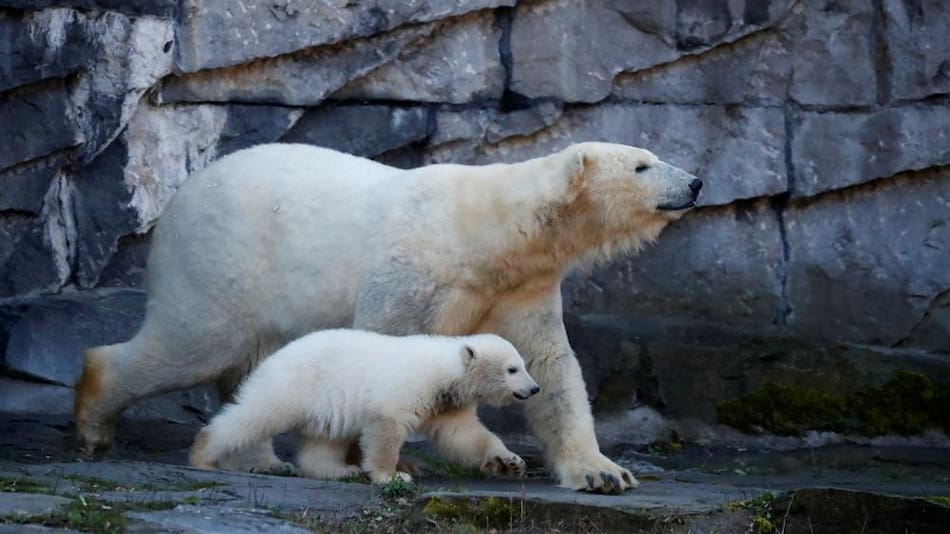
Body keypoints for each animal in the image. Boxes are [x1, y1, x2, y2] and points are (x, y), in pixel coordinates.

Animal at [188, 329, 538, 484]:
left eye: (523, 364)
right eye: (512, 369)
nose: (534, 388)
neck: (443, 370)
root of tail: (273, 357)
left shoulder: (446, 402)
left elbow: (464, 434)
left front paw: (511, 461)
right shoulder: (408, 386)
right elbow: (387, 426)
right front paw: (392, 475)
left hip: (324, 406)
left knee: (324, 440)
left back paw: (340, 469)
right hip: (294, 384)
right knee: (256, 415)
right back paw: (203, 455)